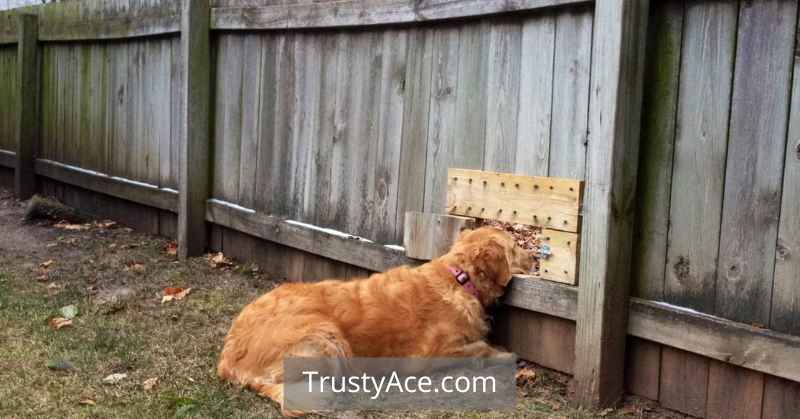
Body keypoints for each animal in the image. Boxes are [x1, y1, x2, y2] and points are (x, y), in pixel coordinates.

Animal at [216, 226, 536, 414]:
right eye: (516, 247)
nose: (535, 257)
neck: (460, 278)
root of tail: (228, 361)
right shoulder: (432, 354)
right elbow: (481, 349)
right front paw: (509, 359)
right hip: (327, 335)